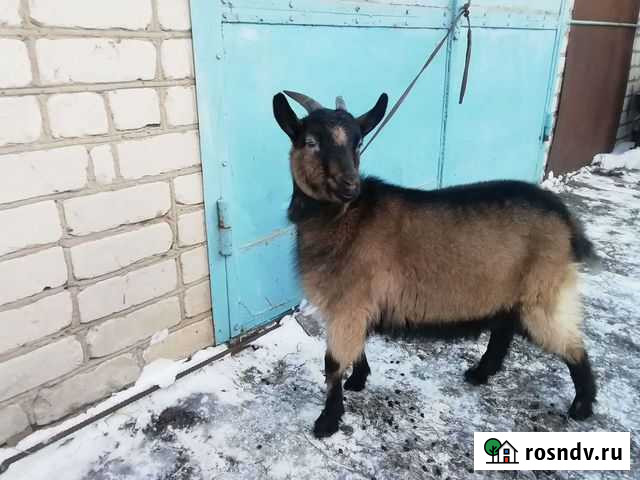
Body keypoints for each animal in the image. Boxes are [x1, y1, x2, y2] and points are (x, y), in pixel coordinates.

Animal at [272, 91, 598, 438]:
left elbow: (333, 363)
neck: (346, 216)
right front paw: (358, 381)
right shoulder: (356, 305)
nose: (350, 185)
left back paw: (581, 406)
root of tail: (566, 219)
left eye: (357, 143)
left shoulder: (348, 303)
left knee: (570, 343)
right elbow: (356, 348)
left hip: (543, 292)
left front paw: (327, 421)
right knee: (504, 329)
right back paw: (480, 373)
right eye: (310, 142)